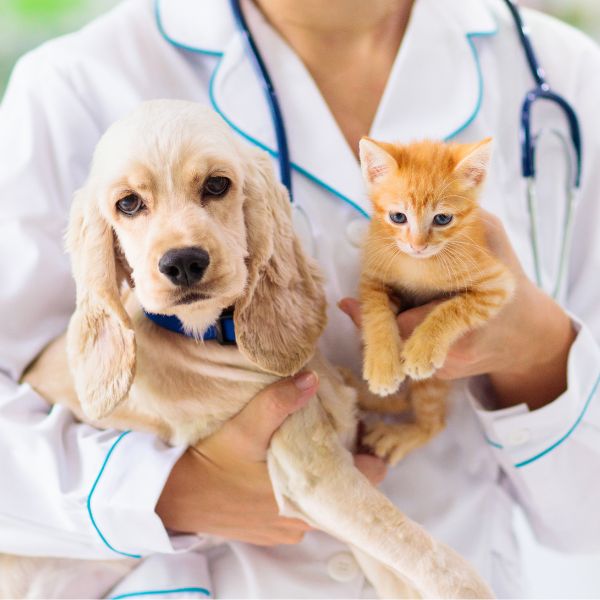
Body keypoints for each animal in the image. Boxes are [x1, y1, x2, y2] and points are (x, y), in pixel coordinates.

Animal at [356, 136, 516, 464]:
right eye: (398, 216)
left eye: (442, 218)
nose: (418, 245)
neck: (419, 265)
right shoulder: (373, 276)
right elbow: (376, 314)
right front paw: (382, 365)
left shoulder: (497, 283)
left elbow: (454, 307)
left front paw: (422, 349)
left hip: (434, 383)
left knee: (433, 421)